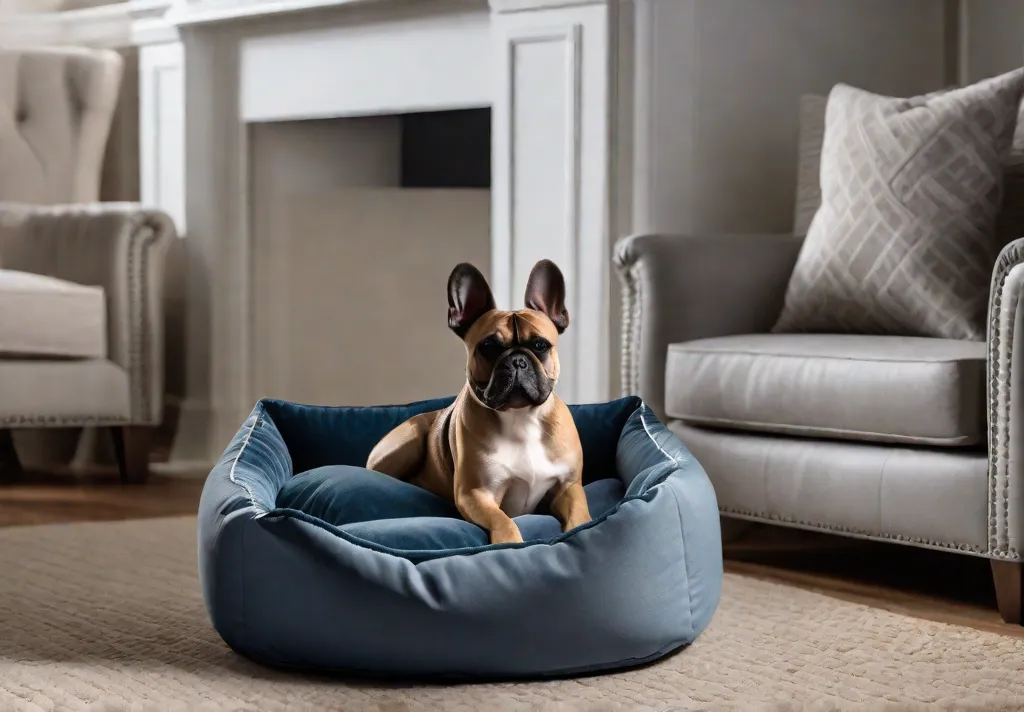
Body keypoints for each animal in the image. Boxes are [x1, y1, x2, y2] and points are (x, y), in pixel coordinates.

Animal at [368, 259, 593, 545]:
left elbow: (580, 517)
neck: (521, 417)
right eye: (488, 347)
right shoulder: (476, 494)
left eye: (540, 345)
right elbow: (503, 521)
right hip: (408, 440)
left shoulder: (568, 487)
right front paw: (510, 544)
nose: (517, 360)